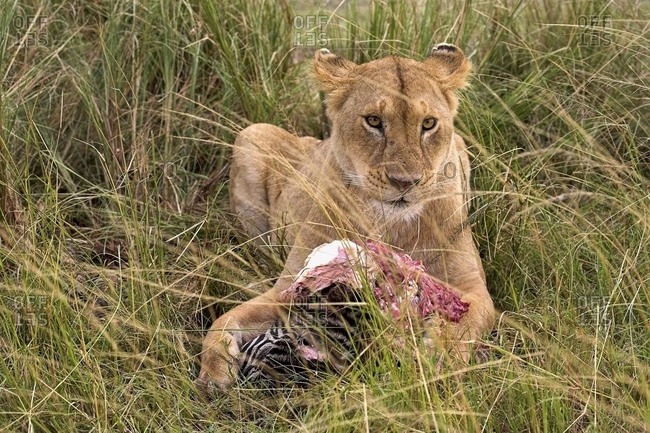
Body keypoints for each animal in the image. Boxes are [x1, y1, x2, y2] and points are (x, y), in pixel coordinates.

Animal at [196, 44, 495, 391]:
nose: (405, 182)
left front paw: (440, 364)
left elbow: (467, 324)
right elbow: (224, 321)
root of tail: (315, 140)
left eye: (429, 123)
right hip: (252, 134)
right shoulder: (287, 289)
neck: (388, 224)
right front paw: (213, 373)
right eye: (374, 121)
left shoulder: (473, 288)